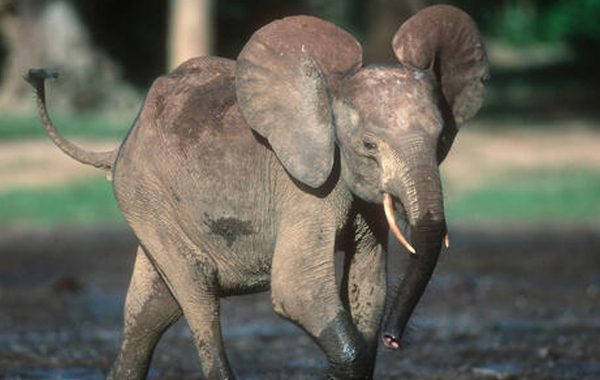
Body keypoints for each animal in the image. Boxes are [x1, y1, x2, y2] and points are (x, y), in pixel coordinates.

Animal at [25, 4, 490, 378]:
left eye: (441, 138)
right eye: (369, 146)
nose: (397, 339)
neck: (326, 95)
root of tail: (120, 144)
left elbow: (368, 287)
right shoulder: (306, 190)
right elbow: (296, 290)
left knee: (152, 309)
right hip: (143, 193)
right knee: (196, 292)